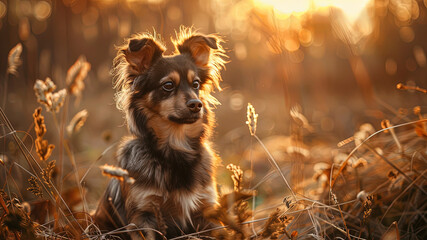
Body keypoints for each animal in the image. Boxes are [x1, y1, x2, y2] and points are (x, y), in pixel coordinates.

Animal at [94, 27, 227, 239]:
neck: (176, 146)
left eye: (196, 84)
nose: (196, 104)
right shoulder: (143, 215)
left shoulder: (206, 210)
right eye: (168, 85)